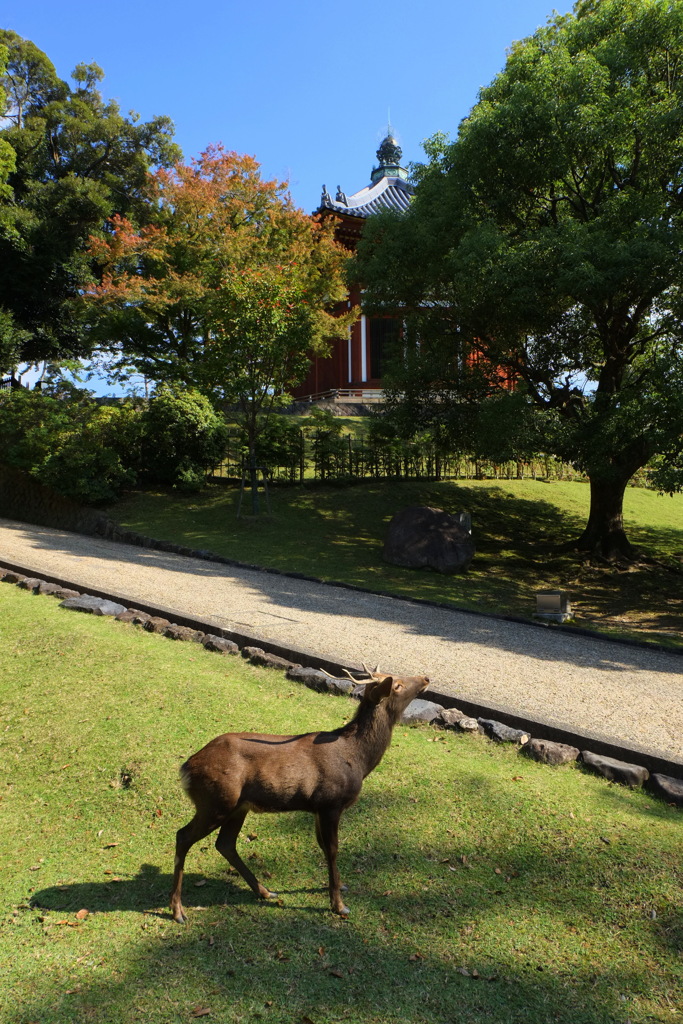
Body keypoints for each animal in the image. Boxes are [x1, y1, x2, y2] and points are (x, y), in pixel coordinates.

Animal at [169, 667, 428, 925]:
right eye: (397, 685)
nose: (425, 678)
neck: (358, 760)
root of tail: (186, 768)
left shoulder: (317, 808)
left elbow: (323, 846)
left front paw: (338, 886)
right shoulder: (331, 803)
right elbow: (333, 849)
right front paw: (339, 905)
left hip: (237, 807)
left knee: (225, 843)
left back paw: (265, 891)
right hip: (216, 801)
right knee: (183, 836)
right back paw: (178, 911)